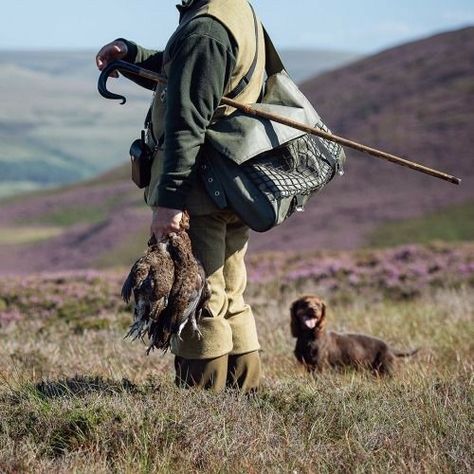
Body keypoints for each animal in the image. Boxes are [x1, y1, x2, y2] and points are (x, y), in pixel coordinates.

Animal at [288, 294, 418, 376]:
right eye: (305, 303)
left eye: (319, 305)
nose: (313, 309)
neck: (309, 337)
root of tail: (390, 347)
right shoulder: (309, 366)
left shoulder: (320, 365)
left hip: (385, 369)